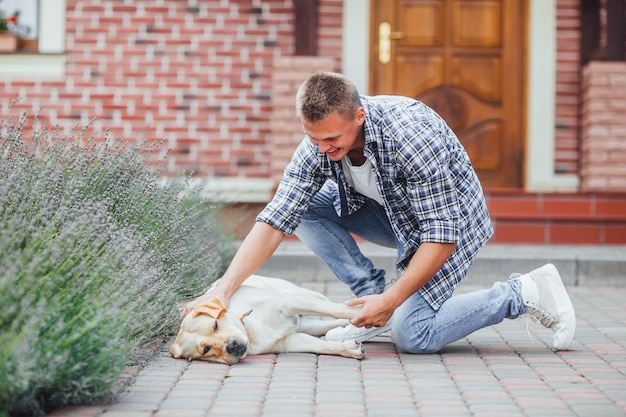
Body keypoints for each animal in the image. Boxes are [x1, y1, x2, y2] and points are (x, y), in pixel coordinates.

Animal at [171, 274, 366, 362]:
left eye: (215, 325)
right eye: (206, 349)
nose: (231, 346)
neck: (250, 329)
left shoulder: (288, 303)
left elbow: (341, 310)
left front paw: (367, 308)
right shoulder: (289, 342)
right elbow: (322, 345)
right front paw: (348, 348)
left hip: (308, 296)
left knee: (334, 307)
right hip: (308, 325)